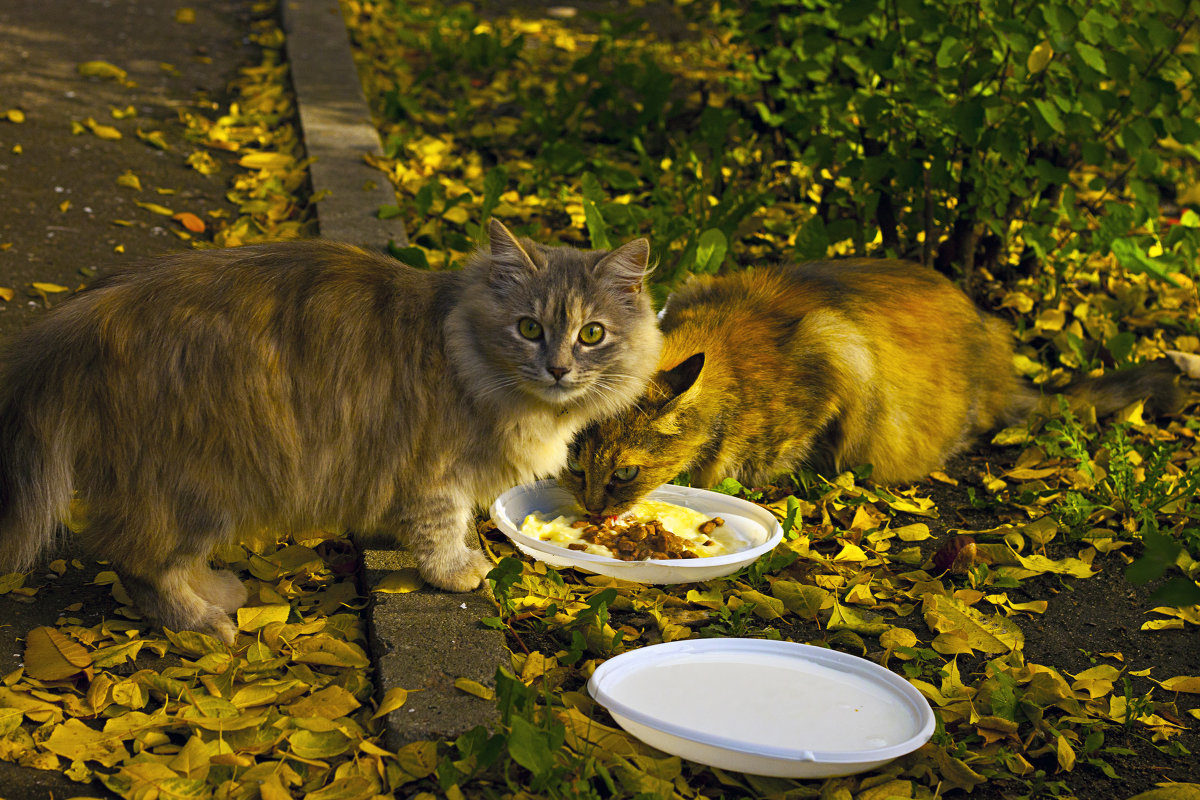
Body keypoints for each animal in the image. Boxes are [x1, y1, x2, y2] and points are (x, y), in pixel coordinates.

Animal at [0, 220, 667, 642]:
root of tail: (88, 314)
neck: (460, 346)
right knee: (141, 564)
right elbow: (442, 531)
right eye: (529, 328)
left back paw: (217, 591)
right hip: (197, 483)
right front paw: (458, 570)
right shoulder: (435, 474)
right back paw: (202, 622)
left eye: (592, 335)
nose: (558, 368)